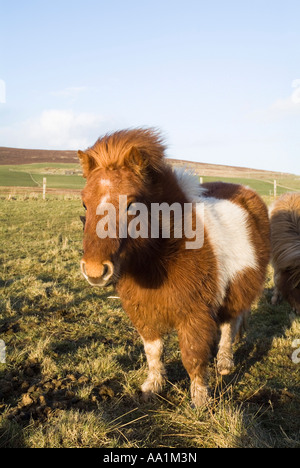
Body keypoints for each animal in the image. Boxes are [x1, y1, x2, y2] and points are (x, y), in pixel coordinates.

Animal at [77, 128, 270, 406]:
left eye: (132, 204)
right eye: (84, 203)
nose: (94, 271)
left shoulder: (194, 314)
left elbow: (193, 356)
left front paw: (200, 401)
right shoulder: (143, 312)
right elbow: (153, 351)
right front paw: (152, 387)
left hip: (238, 290)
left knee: (229, 325)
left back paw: (224, 363)